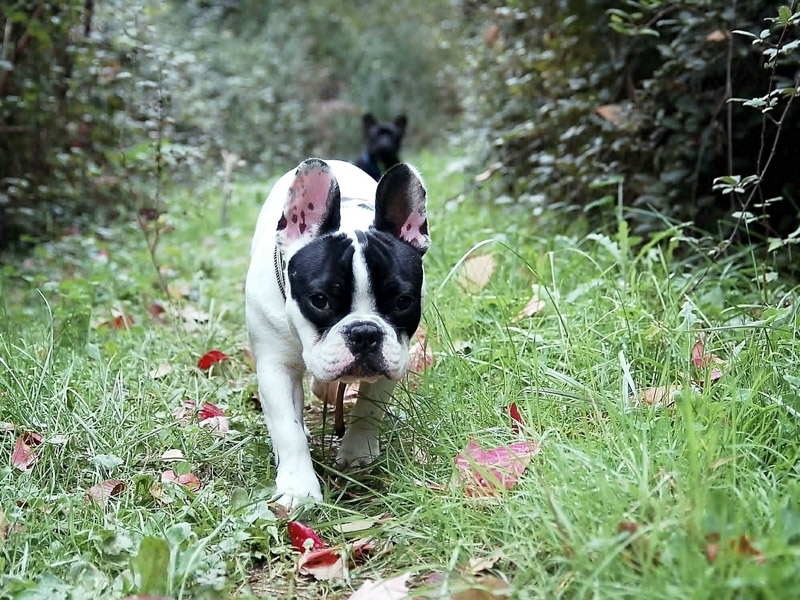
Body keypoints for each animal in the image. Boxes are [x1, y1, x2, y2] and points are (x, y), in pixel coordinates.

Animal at [245, 159, 428, 506]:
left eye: (403, 301)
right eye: (320, 300)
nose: (365, 332)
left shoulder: (394, 358)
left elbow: (369, 409)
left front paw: (357, 452)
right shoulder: (275, 367)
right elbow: (287, 427)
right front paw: (298, 487)